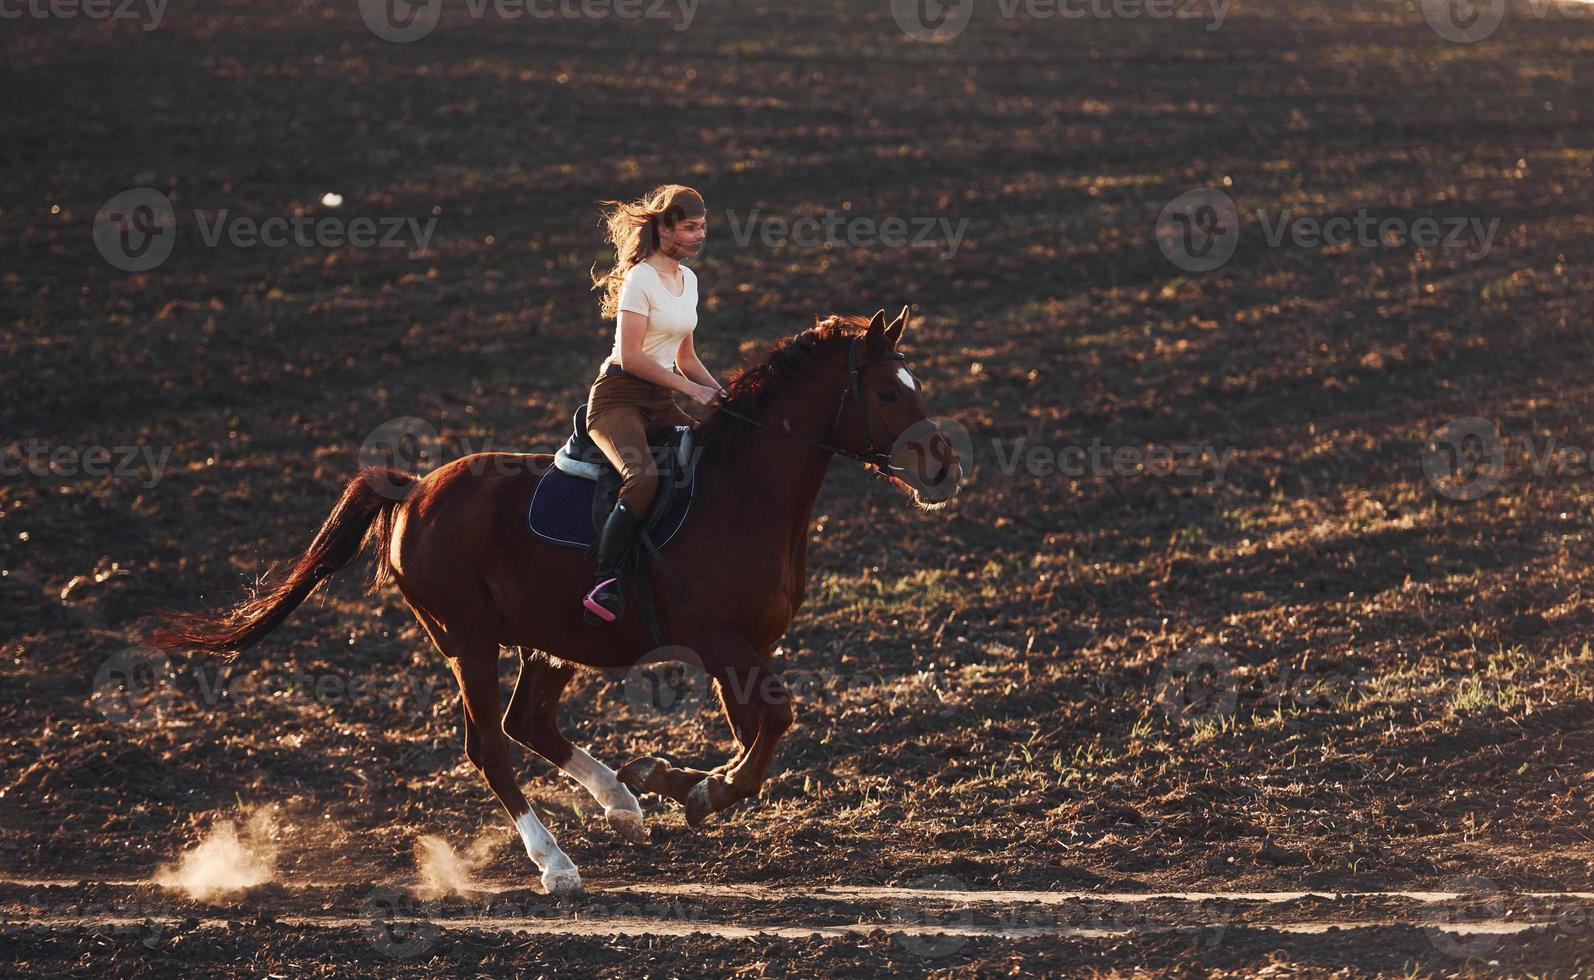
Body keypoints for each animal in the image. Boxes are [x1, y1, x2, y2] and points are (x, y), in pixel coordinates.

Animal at [149, 305, 962, 898]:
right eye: (888, 391)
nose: (942, 468)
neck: (744, 493)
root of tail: (413, 490)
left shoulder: (748, 647)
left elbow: (759, 728)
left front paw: (669, 782)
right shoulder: (720, 642)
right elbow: (772, 724)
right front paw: (696, 791)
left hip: (550, 637)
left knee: (528, 721)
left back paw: (622, 805)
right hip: (468, 638)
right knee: (490, 743)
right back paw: (557, 863)